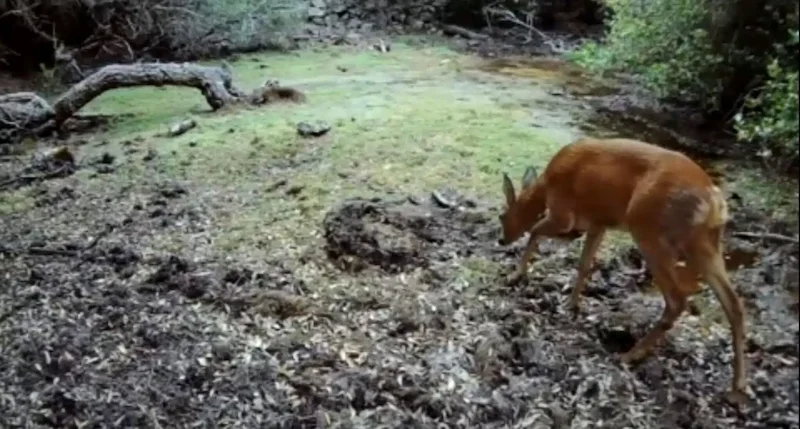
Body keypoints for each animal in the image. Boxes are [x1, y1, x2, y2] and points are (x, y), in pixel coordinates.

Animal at [496, 137, 748, 405]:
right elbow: (584, 264)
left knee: (677, 299)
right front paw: (572, 304)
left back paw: (630, 355)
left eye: (502, 215)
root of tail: (713, 201)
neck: (546, 185)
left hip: (648, 229)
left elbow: (534, 231)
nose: (502, 240)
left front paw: (516, 275)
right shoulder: (597, 223)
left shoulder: (565, 216)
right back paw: (737, 386)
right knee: (734, 304)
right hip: (705, 243)